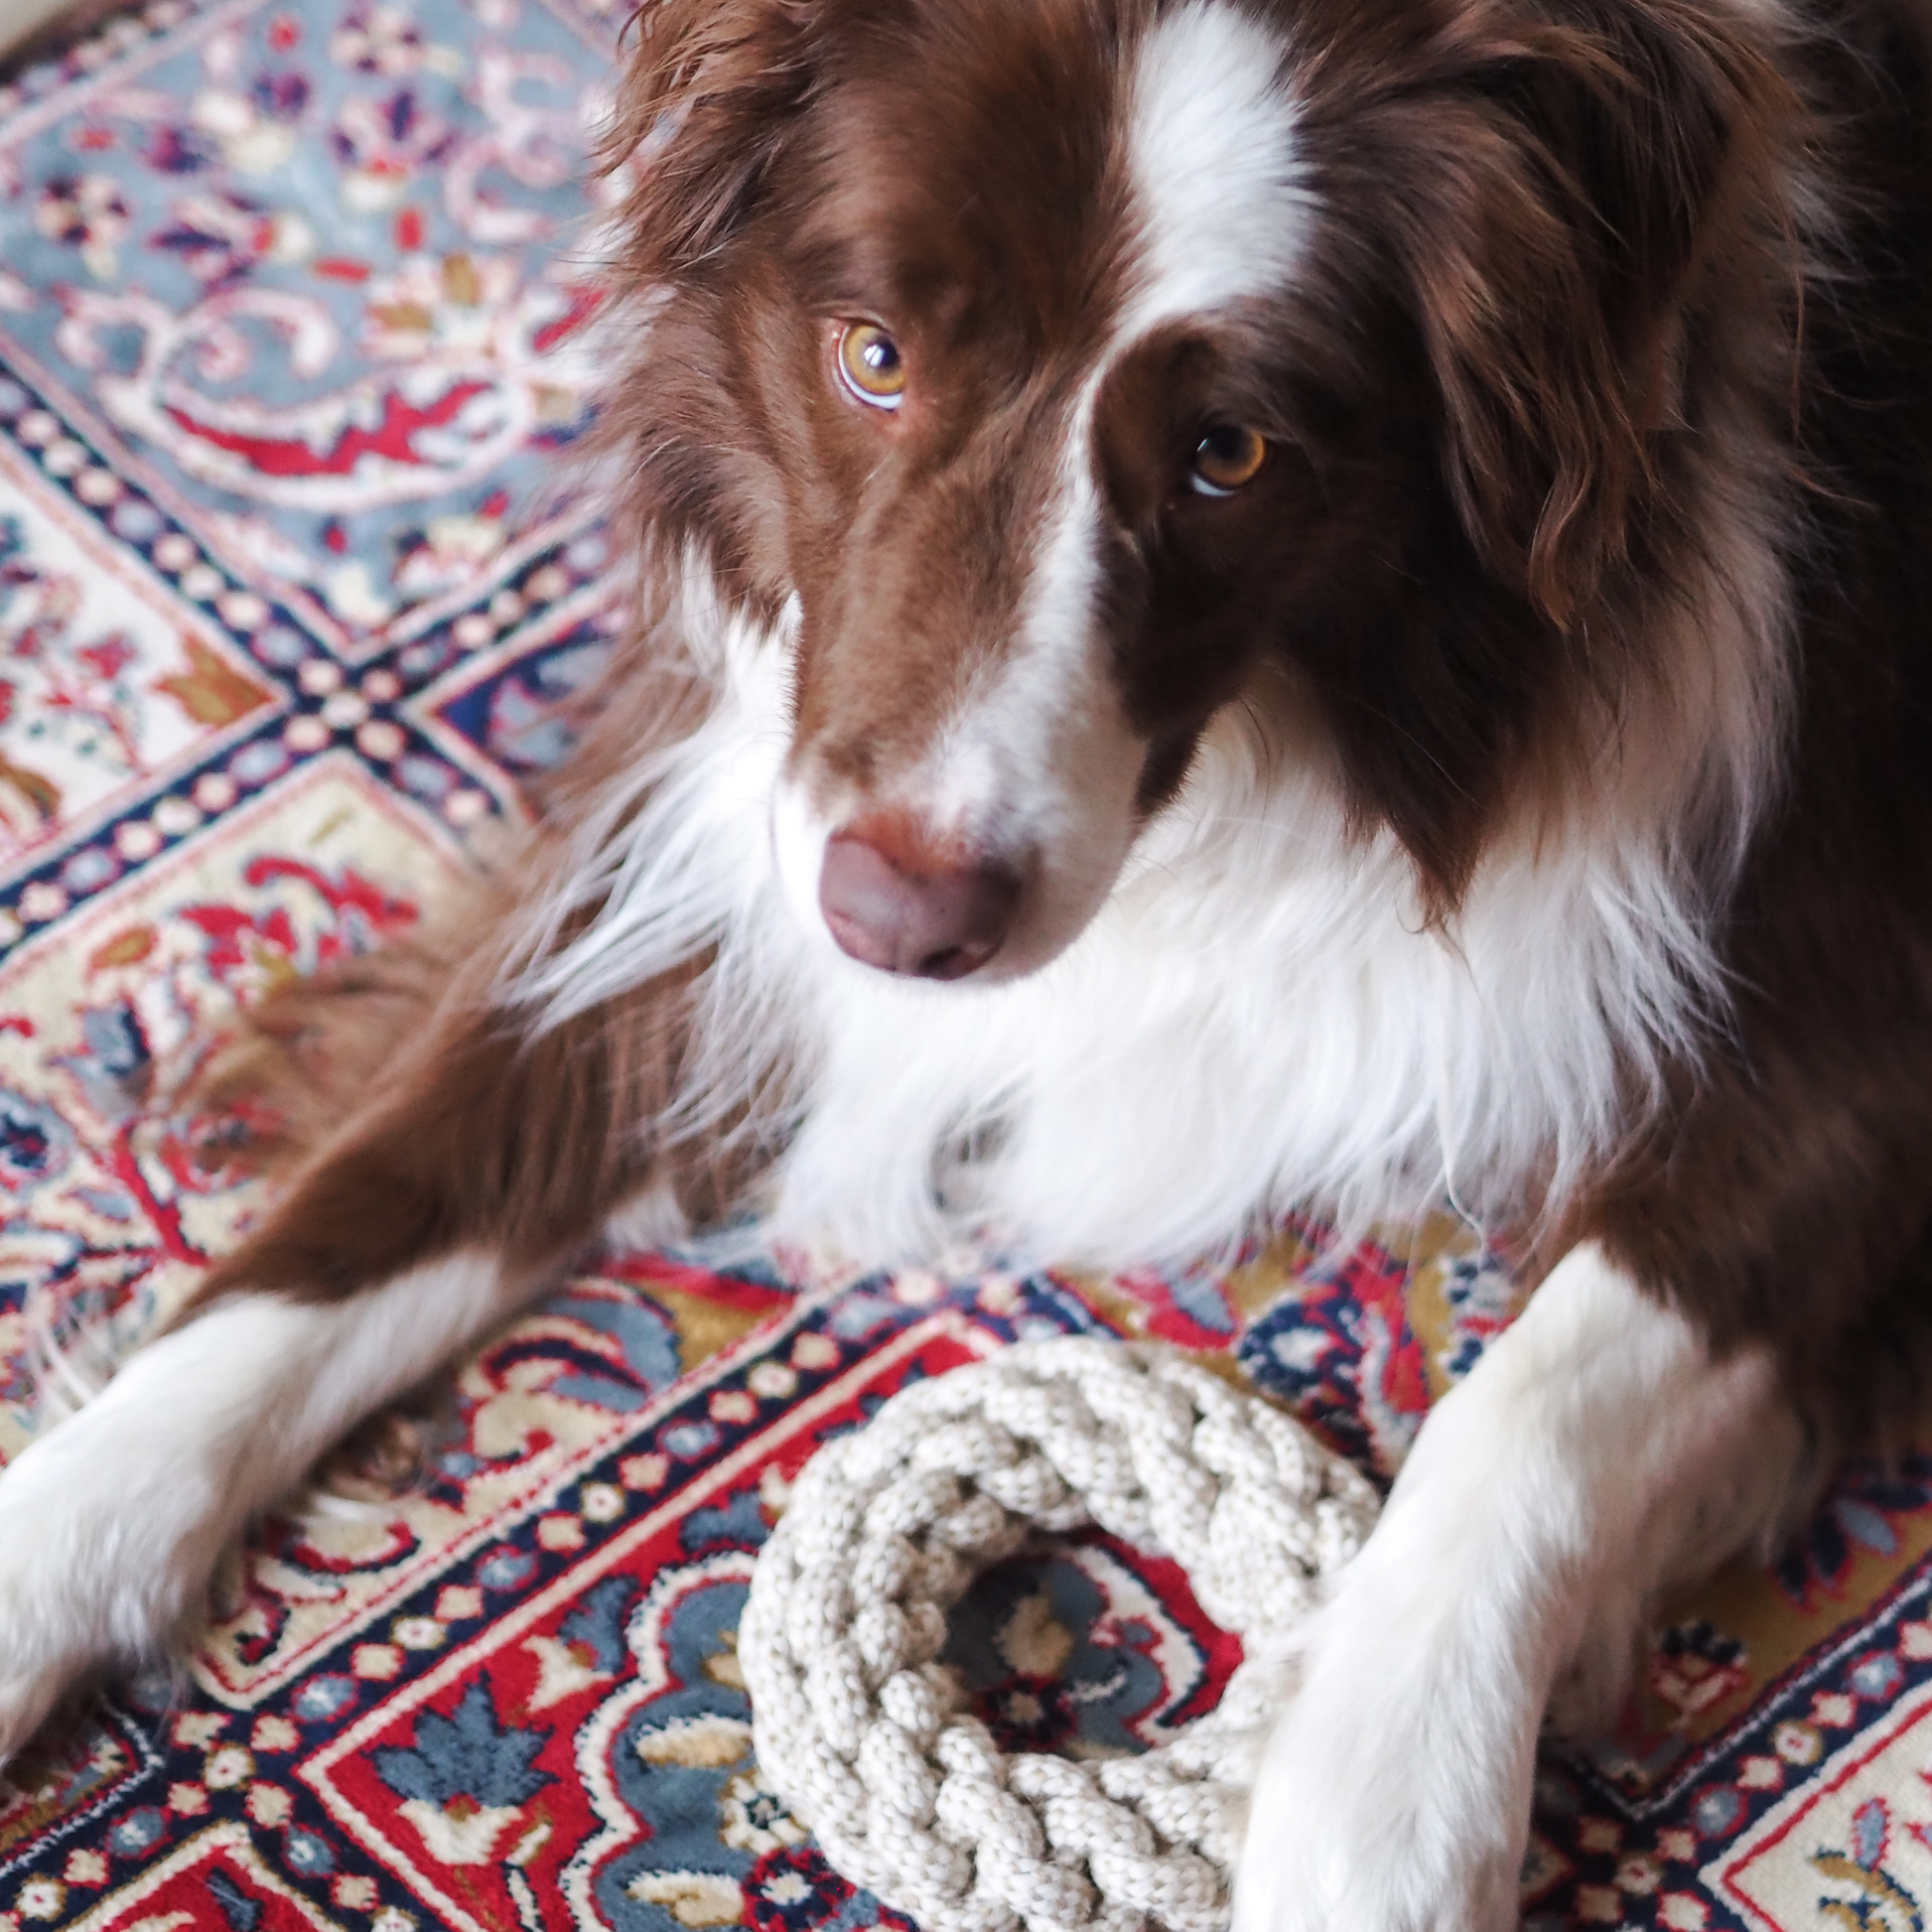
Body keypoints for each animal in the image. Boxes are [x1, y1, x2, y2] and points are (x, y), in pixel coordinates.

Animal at [3, 0, 1932, 1916]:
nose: (904, 926)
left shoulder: (1824, 1036)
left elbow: (1526, 1406)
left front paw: (1375, 1818)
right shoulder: (705, 857)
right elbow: (340, 1226)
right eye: (871, 357)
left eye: (1232, 455)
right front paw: (40, 1562)